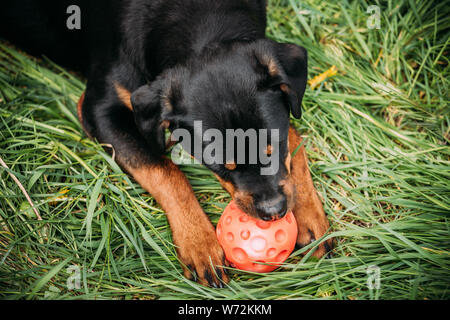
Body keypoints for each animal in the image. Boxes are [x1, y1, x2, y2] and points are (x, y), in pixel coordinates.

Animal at [0, 0, 330, 286]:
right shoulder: (99, 109)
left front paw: (309, 214)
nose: (274, 211)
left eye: (274, 148)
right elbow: (164, 171)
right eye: (221, 166)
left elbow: (295, 137)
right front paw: (200, 243)